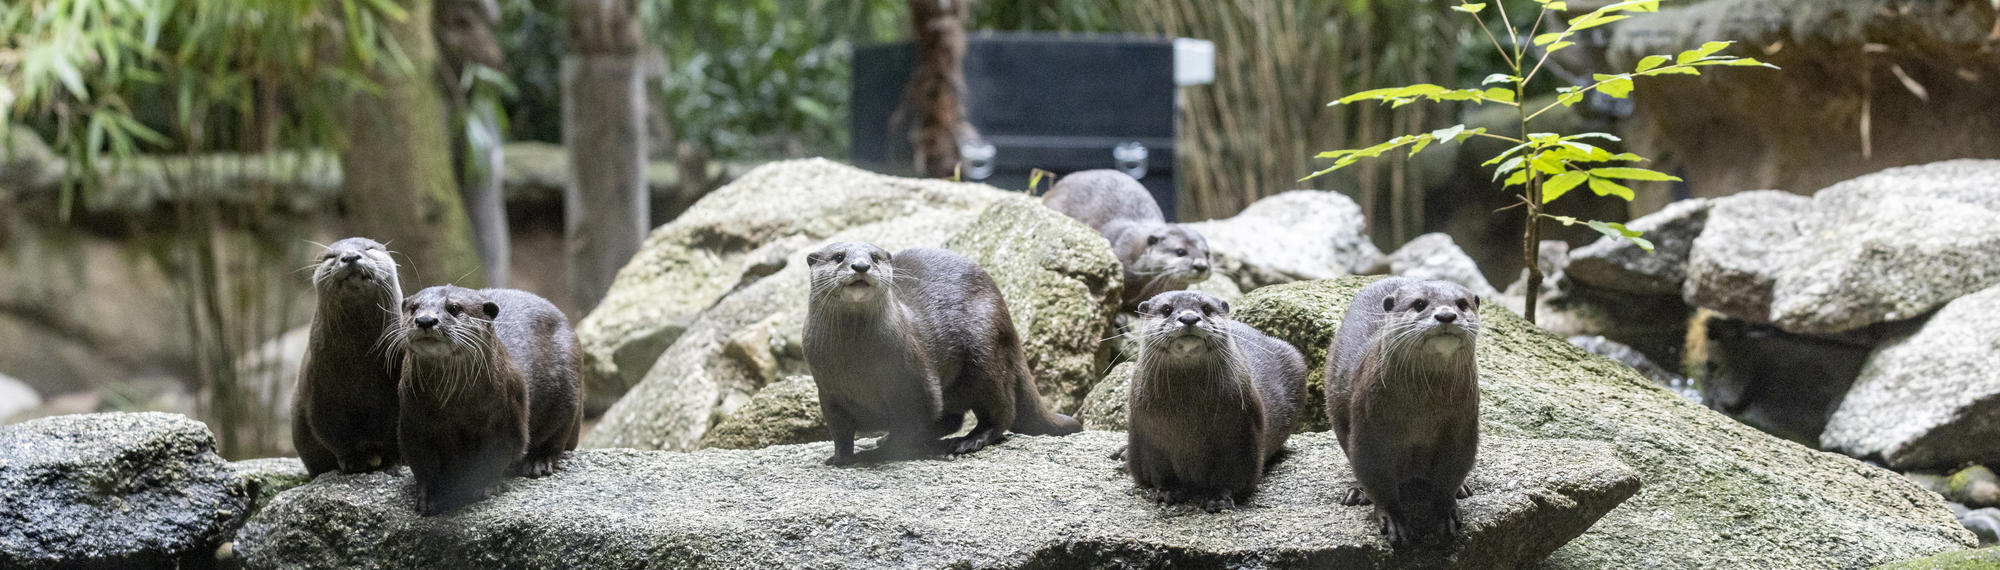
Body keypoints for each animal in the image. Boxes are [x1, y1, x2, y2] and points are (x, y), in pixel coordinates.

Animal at [293, 237, 404, 477]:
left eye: (369, 248)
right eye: (330, 256)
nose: (351, 256)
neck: (360, 360)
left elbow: (396, 426)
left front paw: (392, 459)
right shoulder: (319, 391)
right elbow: (332, 432)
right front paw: (356, 460)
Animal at [388, 285, 582, 515]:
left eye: (454, 308)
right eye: (413, 308)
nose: (425, 320)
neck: (454, 408)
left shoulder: (507, 419)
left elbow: (497, 456)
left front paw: (485, 486)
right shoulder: (412, 423)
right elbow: (422, 464)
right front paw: (430, 496)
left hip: (569, 393)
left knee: (557, 436)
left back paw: (539, 462)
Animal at [803, 242, 1082, 465]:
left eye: (875, 257)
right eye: (838, 256)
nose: (861, 266)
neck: (858, 365)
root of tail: (1009, 323)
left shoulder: (916, 384)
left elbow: (910, 428)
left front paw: (876, 454)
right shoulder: (828, 392)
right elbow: (839, 430)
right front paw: (841, 457)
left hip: (986, 355)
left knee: (1002, 411)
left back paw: (969, 441)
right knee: (953, 418)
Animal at [1126, 291, 1306, 512]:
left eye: (1206, 308)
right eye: (1167, 309)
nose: (1189, 317)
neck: (1186, 420)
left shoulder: (1240, 436)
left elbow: (1231, 475)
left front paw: (1218, 498)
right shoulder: (1150, 438)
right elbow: (1160, 471)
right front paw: (1170, 491)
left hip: (1295, 359)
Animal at [1326, 277, 1482, 547]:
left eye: (1462, 304)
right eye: (1419, 304)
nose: (1446, 315)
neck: (1423, 412)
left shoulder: (1462, 426)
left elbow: (1451, 471)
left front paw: (1445, 512)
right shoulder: (1370, 425)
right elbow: (1376, 474)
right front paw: (1393, 519)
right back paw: (1357, 492)